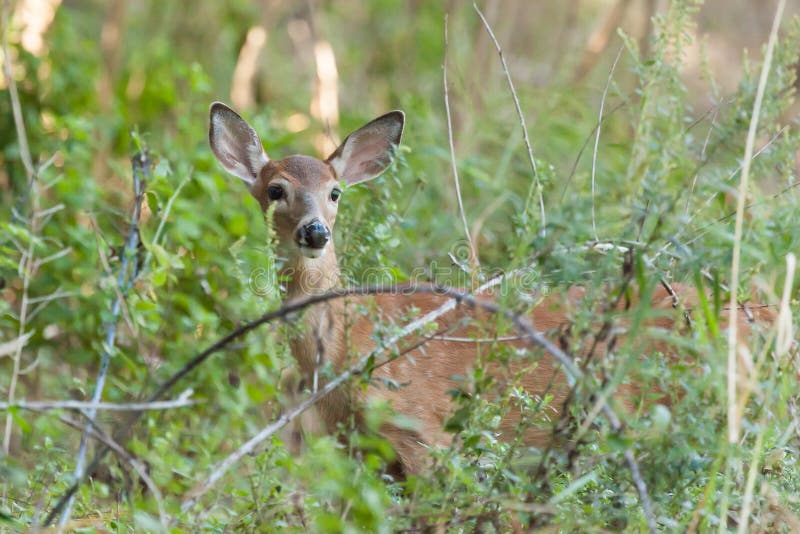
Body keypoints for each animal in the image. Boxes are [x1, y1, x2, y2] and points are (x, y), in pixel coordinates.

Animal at [208, 102, 776, 480]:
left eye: (335, 192)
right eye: (275, 190)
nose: (315, 232)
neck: (344, 355)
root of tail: (761, 314)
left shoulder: (423, 432)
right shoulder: (361, 451)